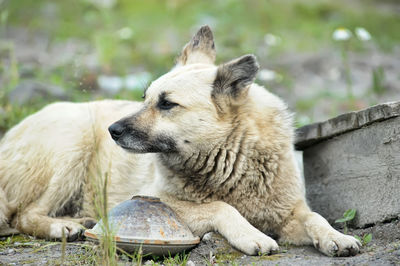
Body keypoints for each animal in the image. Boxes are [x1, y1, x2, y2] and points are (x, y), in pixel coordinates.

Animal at [0, 26, 360, 256]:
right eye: (144, 99)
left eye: (167, 104)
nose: (112, 130)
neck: (232, 158)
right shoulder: (159, 201)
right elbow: (221, 206)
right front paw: (251, 235)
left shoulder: (288, 215)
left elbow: (315, 217)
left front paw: (336, 237)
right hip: (72, 145)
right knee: (23, 215)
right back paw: (62, 228)